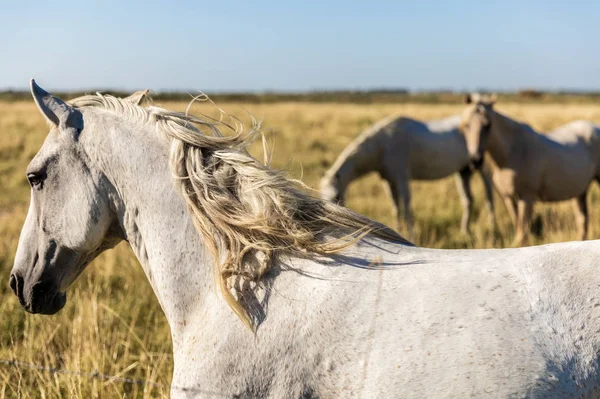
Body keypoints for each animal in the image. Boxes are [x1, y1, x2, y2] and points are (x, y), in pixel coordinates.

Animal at [322, 114, 494, 236]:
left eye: (337, 196)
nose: (327, 222)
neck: (383, 145)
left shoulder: (402, 178)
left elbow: (406, 207)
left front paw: (411, 235)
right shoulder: (388, 181)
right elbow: (396, 208)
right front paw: (398, 230)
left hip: (482, 169)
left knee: (489, 197)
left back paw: (492, 229)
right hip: (464, 172)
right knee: (468, 200)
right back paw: (465, 232)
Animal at [460, 95, 600, 245]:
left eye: (487, 125)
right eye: (466, 125)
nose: (475, 160)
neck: (510, 154)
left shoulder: (526, 197)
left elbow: (522, 232)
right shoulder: (509, 197)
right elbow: (518, 225)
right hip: (580, 191)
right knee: (582, 220)